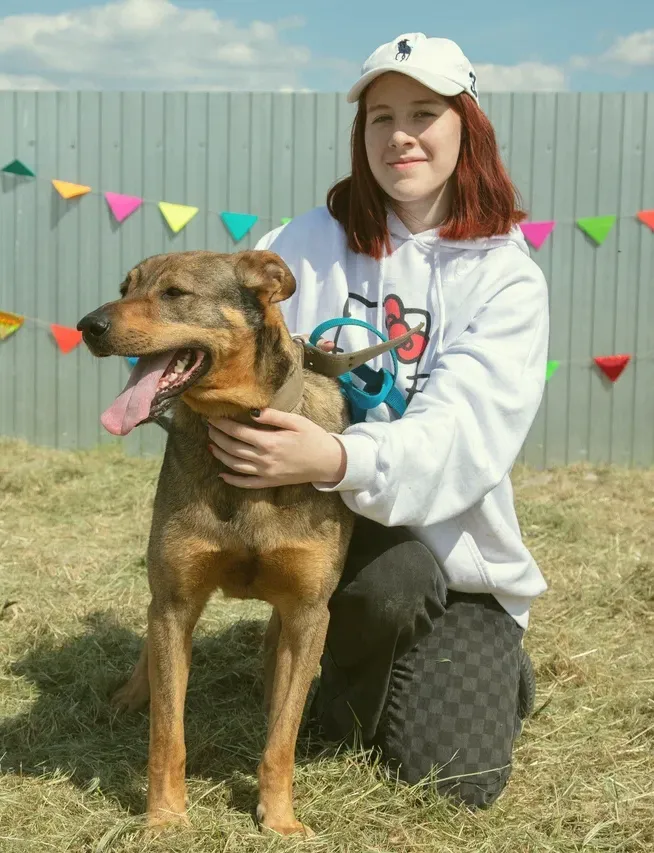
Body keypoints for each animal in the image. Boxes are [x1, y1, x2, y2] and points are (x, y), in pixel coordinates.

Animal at [78, 250, 420, 836]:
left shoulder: (309, 613)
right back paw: (132, 694)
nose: (87, 326)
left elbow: (281, 738)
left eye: (174, 293)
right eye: (124, 288)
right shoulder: (176, 601)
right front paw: (165, 815)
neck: (237, 423)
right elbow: (168, 732)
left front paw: (279, 818)